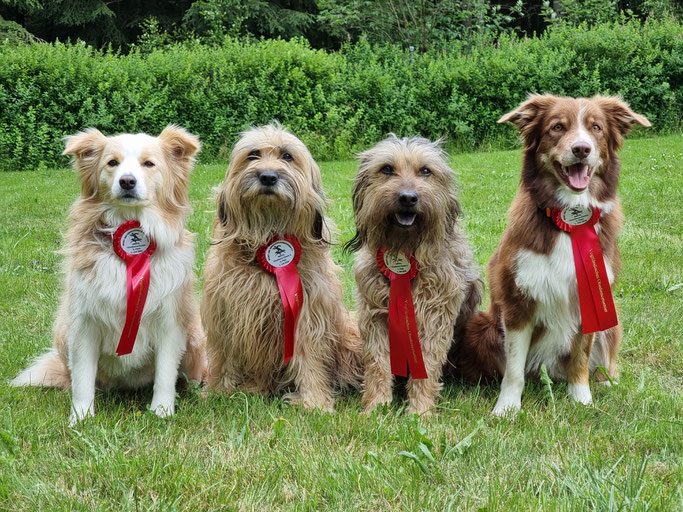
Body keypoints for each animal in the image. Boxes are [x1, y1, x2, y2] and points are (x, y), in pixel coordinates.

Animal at [202, 124, 364, 412]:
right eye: (253, 155)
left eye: (287, 156)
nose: (267, 177)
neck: (267, 235)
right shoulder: (226, 310)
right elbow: (225, 354)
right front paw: (218, 390)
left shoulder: (307, 311)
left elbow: (309, 356)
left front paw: (314, 401)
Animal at [350, 136, 484, 416]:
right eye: (387, 169)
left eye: (425, 170)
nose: (408, 198)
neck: (407, 249)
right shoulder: (374, 317)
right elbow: (377, 364)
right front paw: (376, 406)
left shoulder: (435, 316)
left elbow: (428, 365)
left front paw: (420, 411)